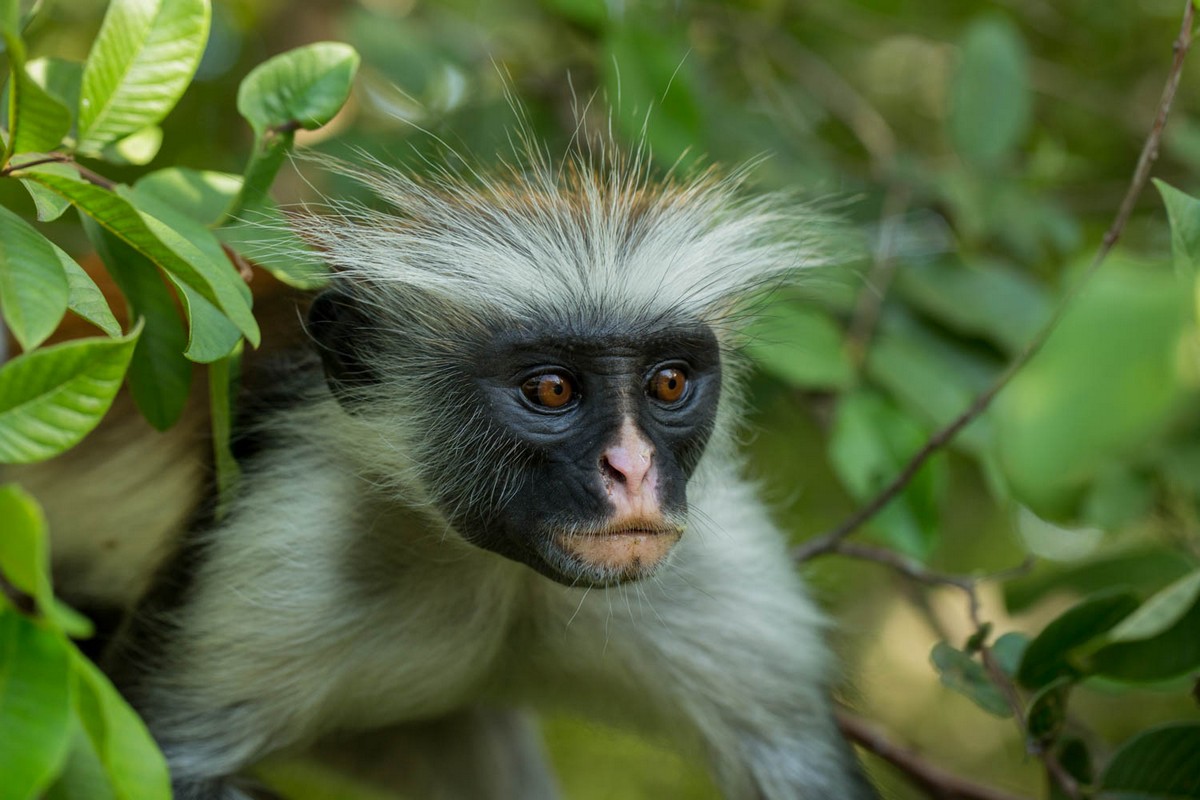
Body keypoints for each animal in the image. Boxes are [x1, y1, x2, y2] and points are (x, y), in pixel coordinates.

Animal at [42, 151, 878, 800]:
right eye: (552, 390)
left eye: (668, 383)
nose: (635, 468)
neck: (504, 570)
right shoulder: (280, 533)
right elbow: (168, 762)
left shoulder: (726, 566)